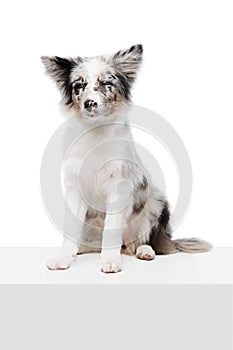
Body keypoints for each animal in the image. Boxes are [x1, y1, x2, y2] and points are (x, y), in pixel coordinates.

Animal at [41, 44, 212, 274]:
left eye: (106, 83)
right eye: (79, 85)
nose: (89, 103)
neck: (96, 131)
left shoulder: (119, 185)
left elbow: (112, 227)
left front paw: (110, 261)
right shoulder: (74, 187)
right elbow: (70, 228)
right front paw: (63, 258)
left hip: (155, 201)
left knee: (144, 241)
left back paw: (145, 251)